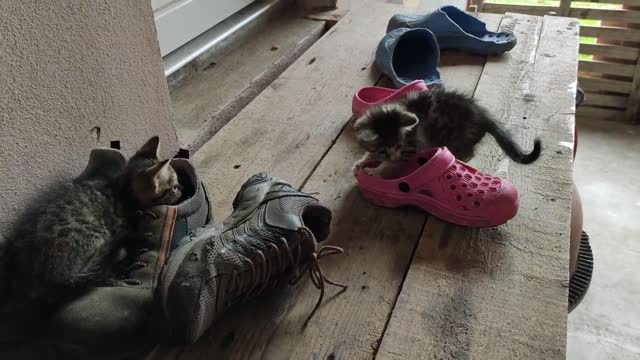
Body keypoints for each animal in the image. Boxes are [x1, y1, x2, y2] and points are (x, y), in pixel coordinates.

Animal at [352, 87, 544, 177]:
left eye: (400, 145)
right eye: (383, 150)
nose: (394, 157)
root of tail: (483, 116)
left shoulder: (414, 147)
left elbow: (394, 164)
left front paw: (377, 171)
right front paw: (361, 162)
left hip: (456, 137)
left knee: (467, 153)